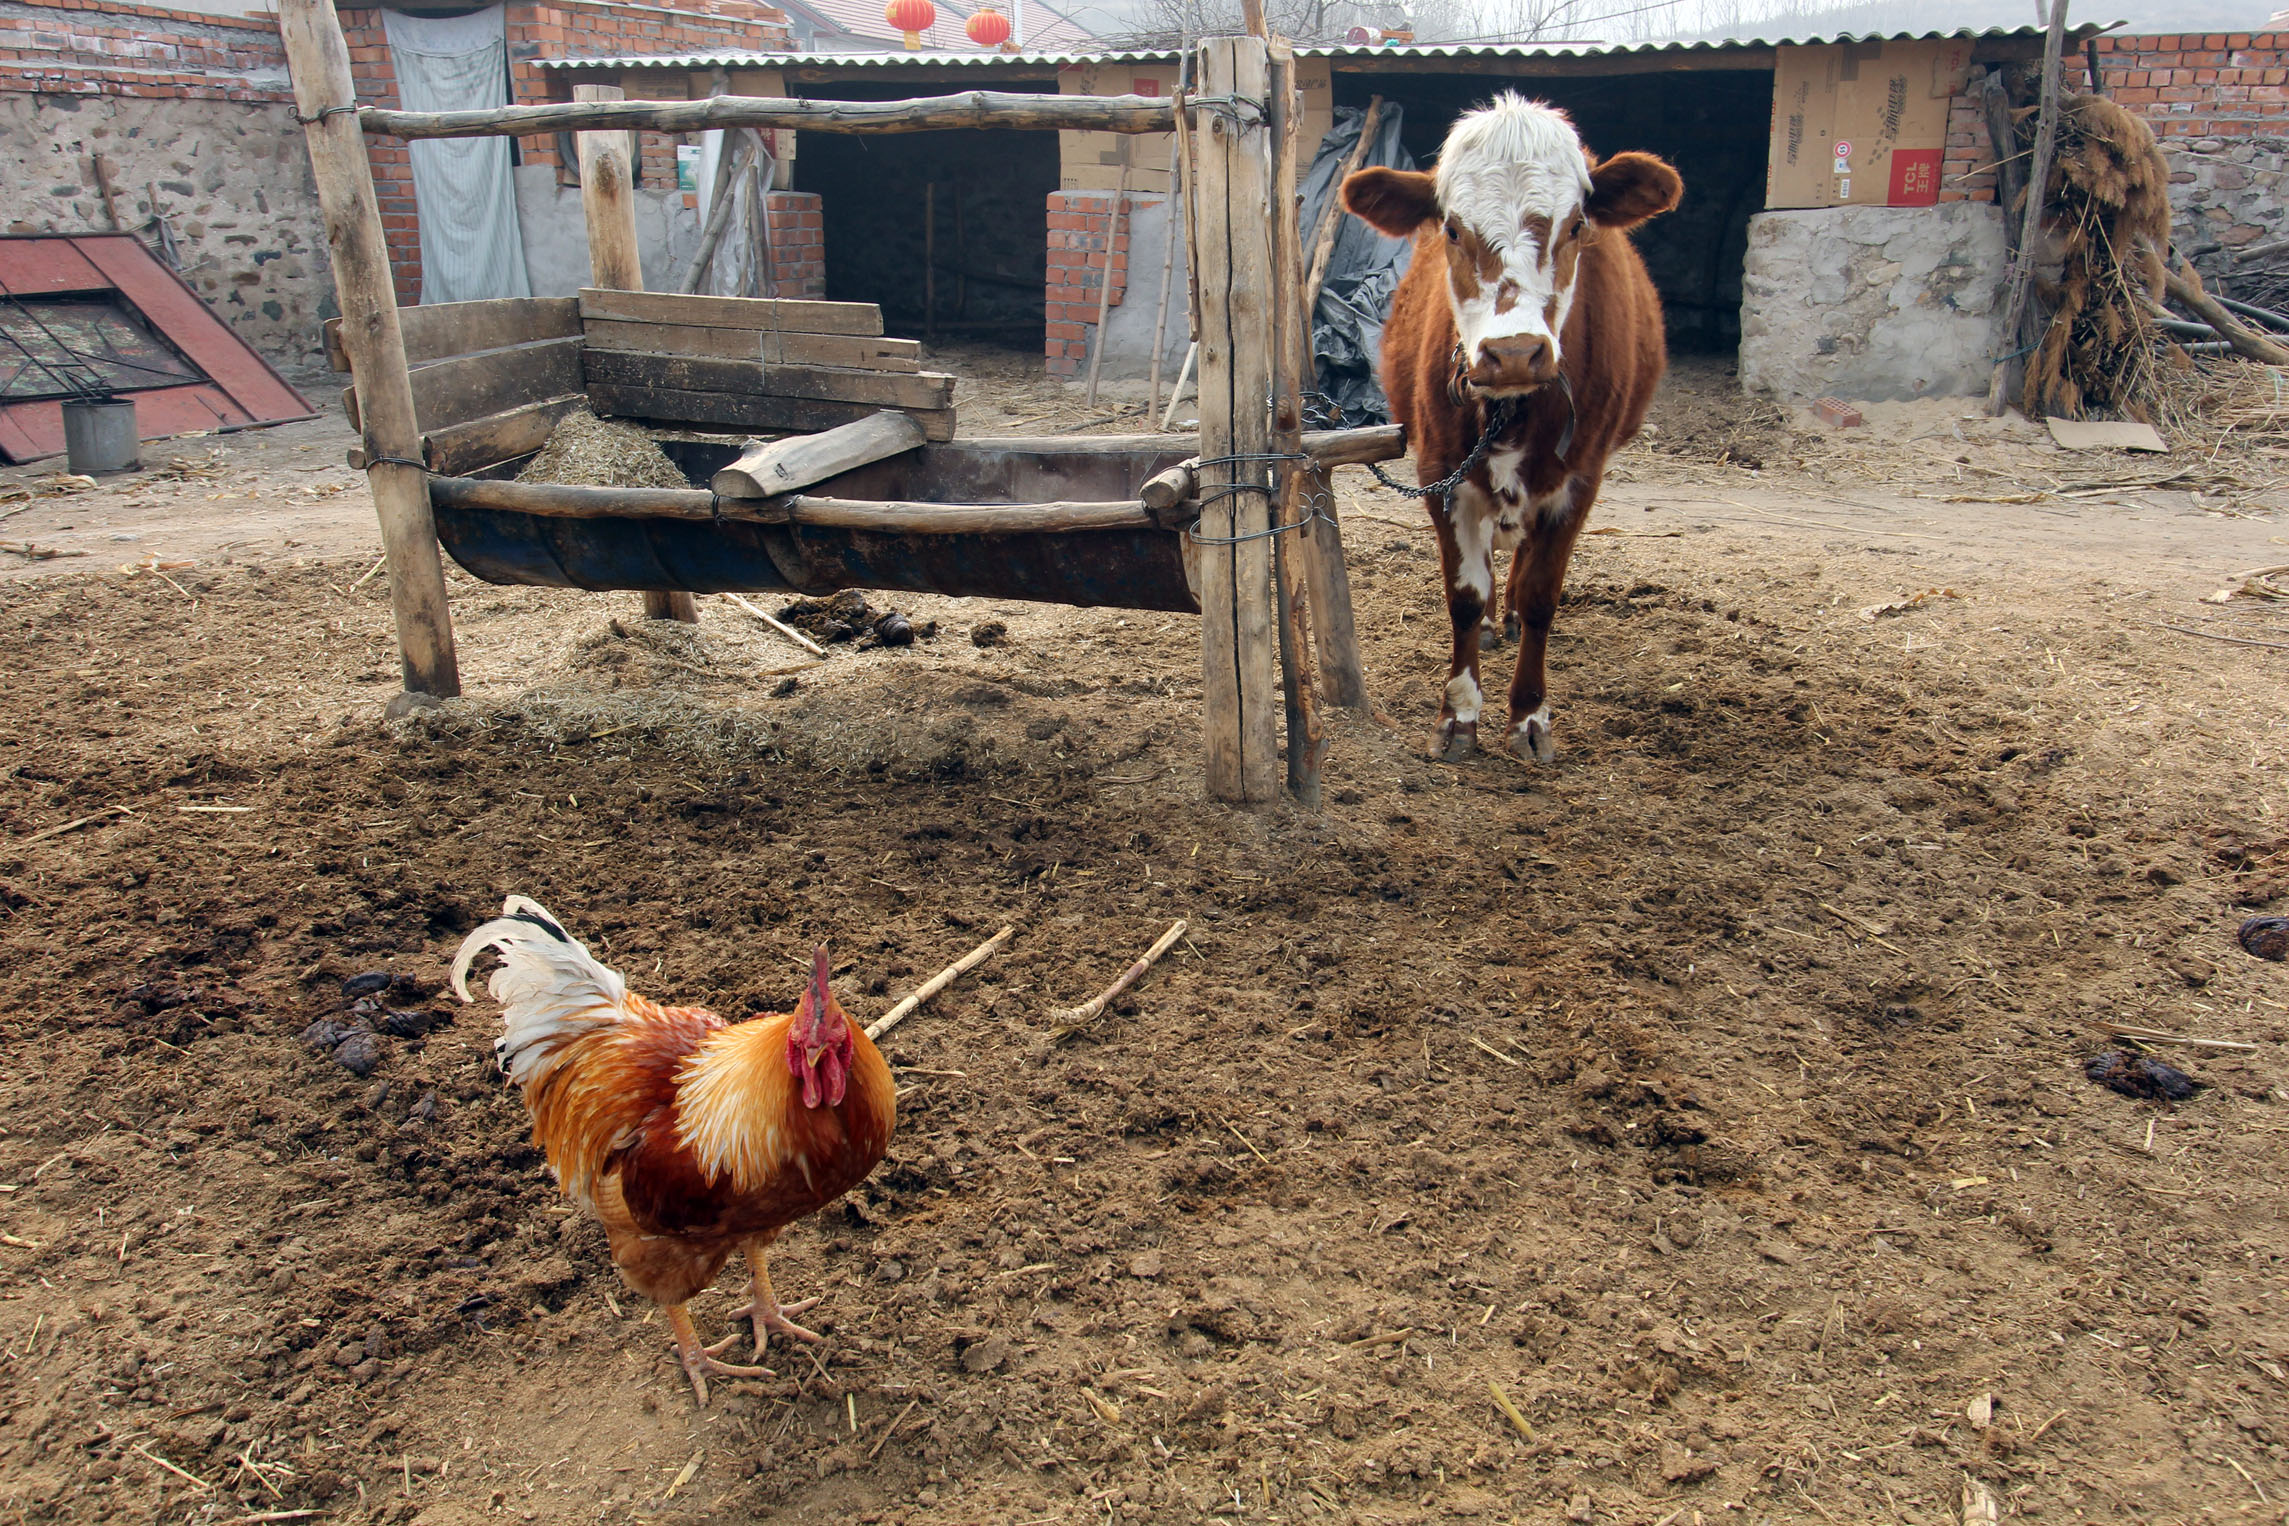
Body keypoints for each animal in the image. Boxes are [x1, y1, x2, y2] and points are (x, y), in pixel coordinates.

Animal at [1336, 95, 1684, 764]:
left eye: (1576, 226)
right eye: (1451, 228)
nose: (1515, 352)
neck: (1512, 408)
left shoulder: (1580, 479)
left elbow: (1545, 594)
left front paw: (1528, 716)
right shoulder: (1442, 476)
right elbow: (1466, 596)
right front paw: (1460, 716)